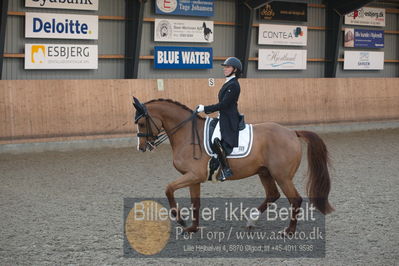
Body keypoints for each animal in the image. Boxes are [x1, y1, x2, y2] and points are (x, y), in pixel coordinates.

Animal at [133, 97, 332, 235]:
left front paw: (180, 220)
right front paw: (192, 228)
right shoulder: (194, 178)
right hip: (265, 172)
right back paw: (251, 221)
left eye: (141, 123)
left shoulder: (194, 175)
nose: (141, 148)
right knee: (272, 194)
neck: (187, 134)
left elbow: (168, 189)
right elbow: (195, 203)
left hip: (282, 176)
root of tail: (292, 132)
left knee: (295, 200)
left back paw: (288, 231)